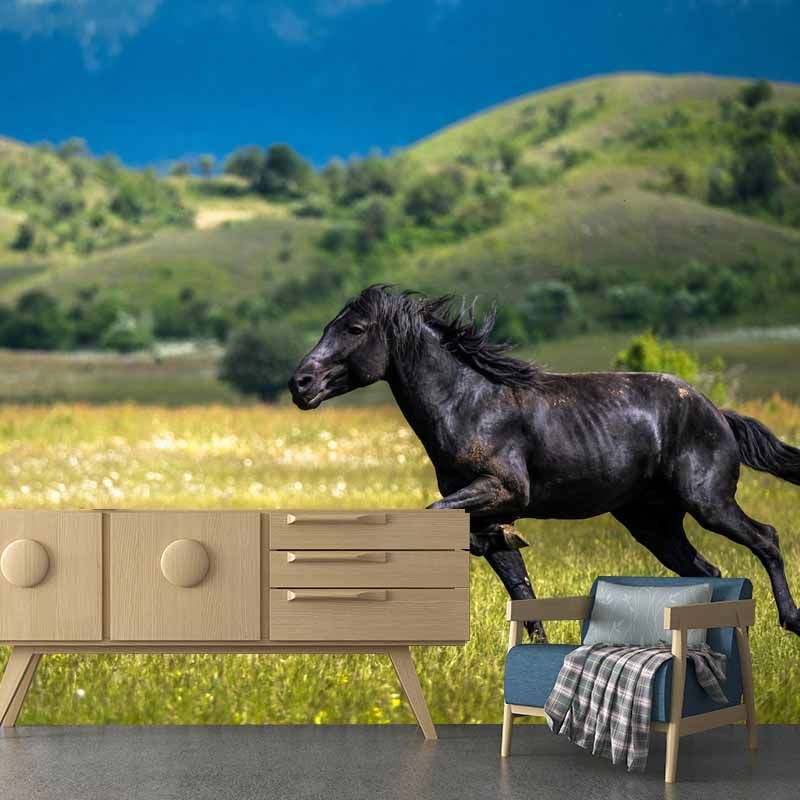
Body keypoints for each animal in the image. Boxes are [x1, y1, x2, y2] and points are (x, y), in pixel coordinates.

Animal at [288, 285, 800, 639]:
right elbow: (519, 584)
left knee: (766, 539)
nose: (300, 384)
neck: (470, 403)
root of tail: (717, 413)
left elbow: (441, 518)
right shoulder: (489, 508)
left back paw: (790, 620)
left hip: (708, 502)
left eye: (354, 329)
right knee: (706, 572)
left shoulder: (504, 489)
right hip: (654, 523)